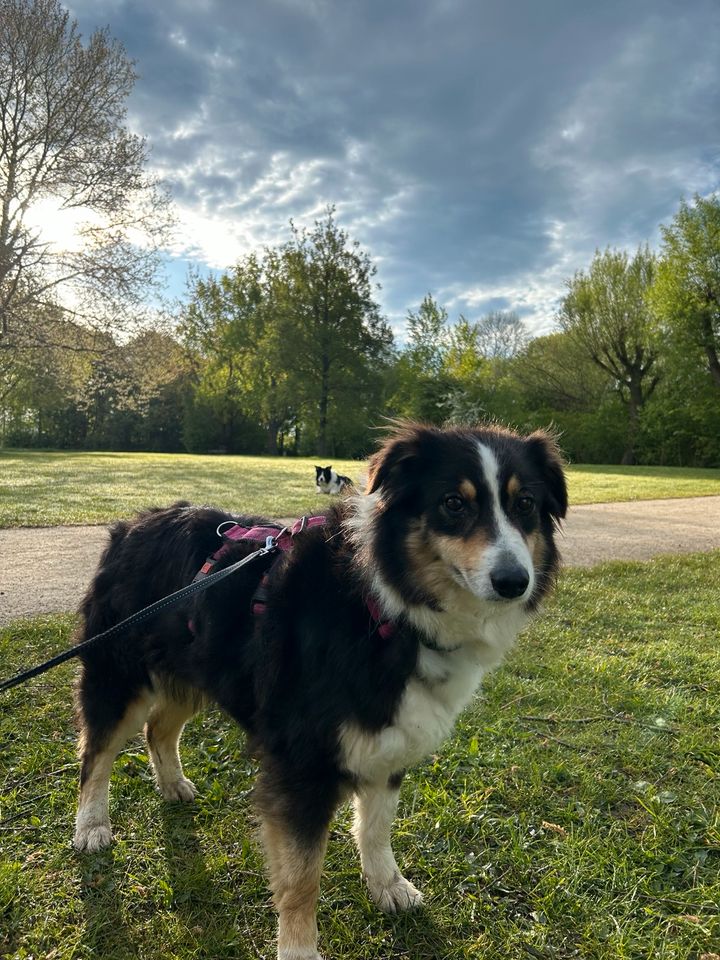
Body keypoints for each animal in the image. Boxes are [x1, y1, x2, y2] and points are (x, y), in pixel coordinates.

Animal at [74, 422, 568, 960]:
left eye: (525, 505)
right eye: (454, 503)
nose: (514, 581)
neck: (386, 608)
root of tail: (134, 524)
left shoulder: (389, 738)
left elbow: (376, 826)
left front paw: (388, 885)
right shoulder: (300, 766)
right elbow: (302, 877)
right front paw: (299, 948)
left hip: (193, 671)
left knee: (158, 729)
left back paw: (172, 784)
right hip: (119, 675)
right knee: (97, 752)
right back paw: (92, 826)